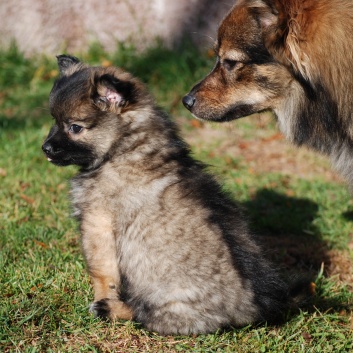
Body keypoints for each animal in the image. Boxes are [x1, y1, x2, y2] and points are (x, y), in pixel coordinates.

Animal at [42, 54, 302, 332]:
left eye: (74, 127)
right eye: (53, 120)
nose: (45, 148)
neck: (125, 146)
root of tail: (250, 309)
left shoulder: (97, 223)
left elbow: (102, 274)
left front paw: (102, 299)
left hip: (165, 302)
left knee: (145, 315)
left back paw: (112, 309)